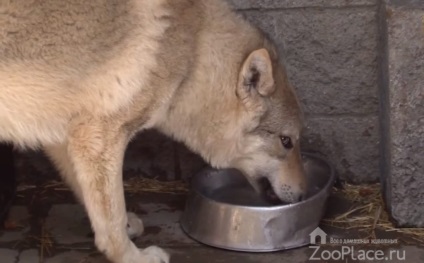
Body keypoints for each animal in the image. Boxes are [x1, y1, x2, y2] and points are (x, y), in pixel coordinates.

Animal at [0, 0, 306, 262]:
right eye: (286, 142)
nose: (304, 195)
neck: (194, 56)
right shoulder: (99, 137)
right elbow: (111, 221)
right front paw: (133, 256)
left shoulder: (68, 137)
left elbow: (100, 206)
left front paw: (127, 226)